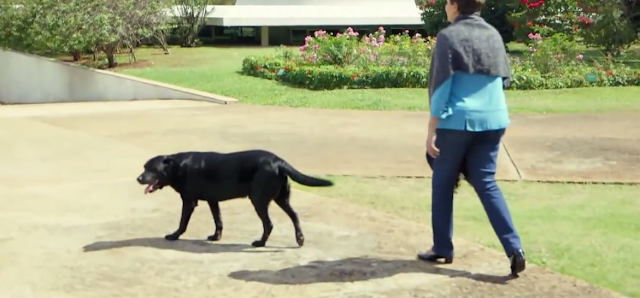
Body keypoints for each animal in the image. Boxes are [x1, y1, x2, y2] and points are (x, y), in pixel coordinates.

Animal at [136, 150, 336, 248]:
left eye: (151, 169)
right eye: (144, 167)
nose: (138, 178)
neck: (178, 166)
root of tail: (278, 160)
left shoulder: (189, 201)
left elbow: (183, 222)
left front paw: (174, 235)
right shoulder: (212, 201)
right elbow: (218, 221)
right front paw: (216, 237)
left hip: (259, 199)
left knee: (269, 224)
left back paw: (260, 243)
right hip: (281, 198)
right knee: (294, 216)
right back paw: (300, 239)